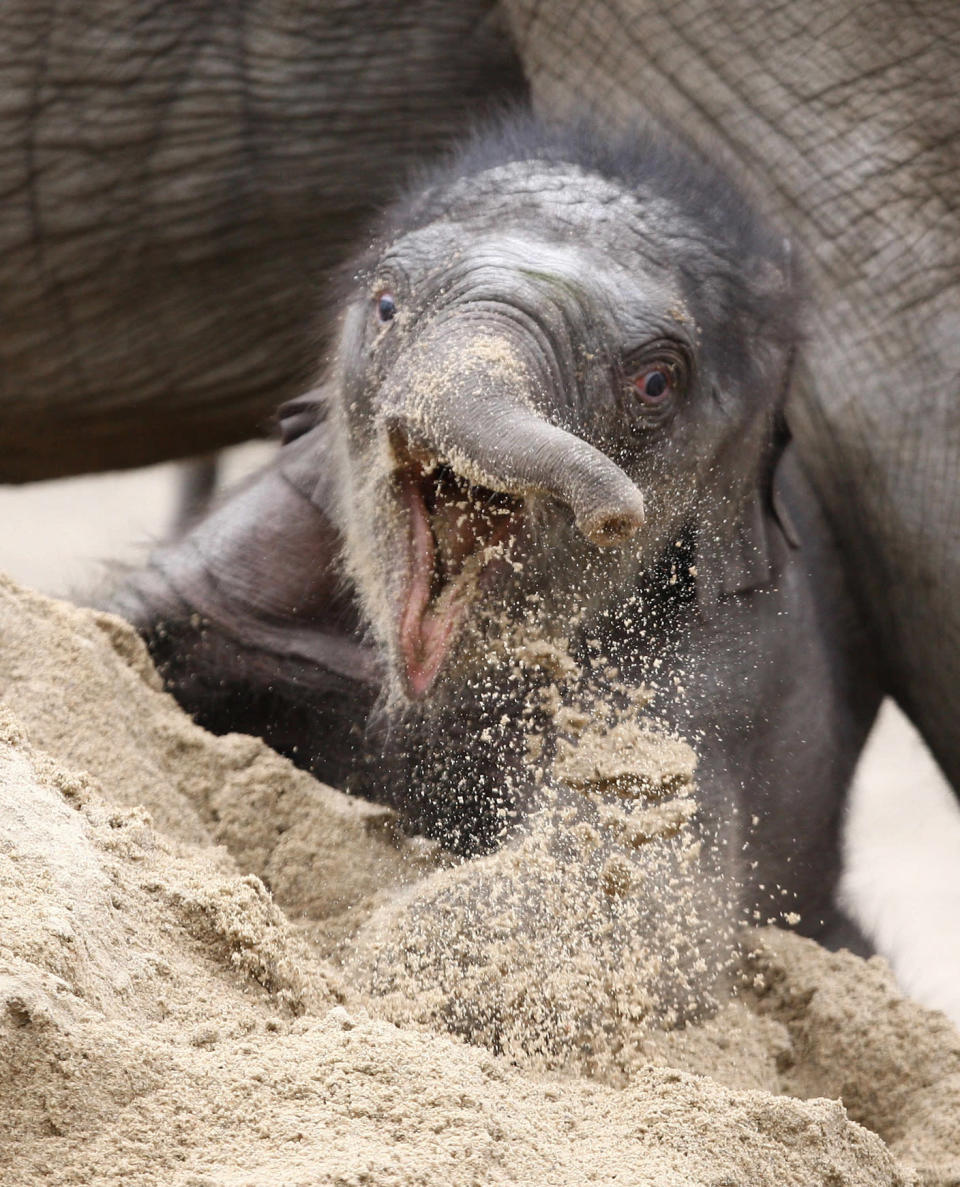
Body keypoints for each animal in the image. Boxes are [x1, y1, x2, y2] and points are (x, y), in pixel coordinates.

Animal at [114, 111, 882, 944]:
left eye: (655, 382)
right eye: (387, 305)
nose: (617, 511)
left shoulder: (717, 671)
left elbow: (617, 893)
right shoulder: (283, 518)